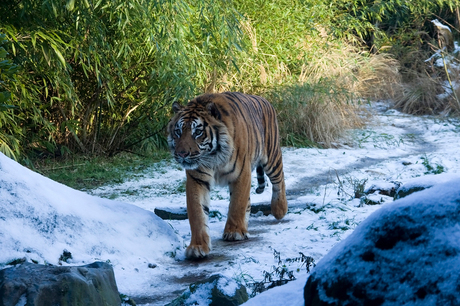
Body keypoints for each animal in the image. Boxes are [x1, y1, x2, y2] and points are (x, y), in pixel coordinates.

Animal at [167, 91, 286, 258]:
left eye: (197, 132)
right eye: (178, 131)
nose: (182, 154)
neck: (213, 156)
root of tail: (265, 100)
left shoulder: (241, 174)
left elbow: (237, 204)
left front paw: (234, 232)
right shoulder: (197, 179)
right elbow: (197, 213)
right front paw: (197, 246)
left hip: (271, 156)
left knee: (279, 180)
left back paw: (280, 210)